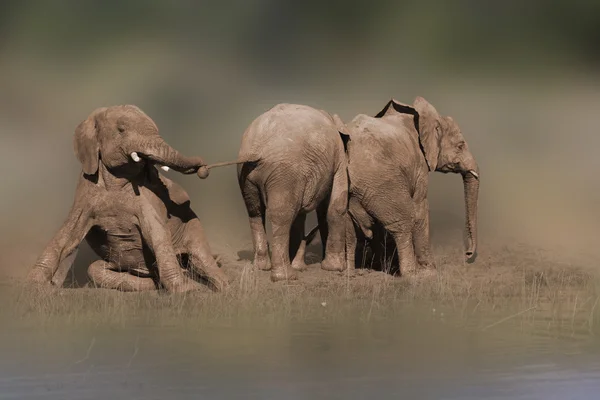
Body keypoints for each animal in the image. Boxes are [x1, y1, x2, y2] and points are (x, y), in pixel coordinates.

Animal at [25, 104, 229, 294]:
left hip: (192, 224)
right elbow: (67, 234)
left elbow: (158, 235)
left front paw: (188, 291)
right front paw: (35, 285)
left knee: (202, 259)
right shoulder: (85, 192)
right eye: (121, 130)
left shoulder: (148, 199)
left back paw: (221, 289)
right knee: (95, 269)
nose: (203, 168)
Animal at [237, 103, 350, 282]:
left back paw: (262, 268)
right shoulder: (338, 157)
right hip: (284, 173)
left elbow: (303, 214)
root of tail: (256, 149)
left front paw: (302, 266)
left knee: (254, 212)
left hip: (248, 174)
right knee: (282, 215)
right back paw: (285, 276)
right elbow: (336, 207)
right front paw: (335, 268)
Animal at [344, 97, 480, 276]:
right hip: (382, 182)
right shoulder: (420, 166)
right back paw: (410, 274)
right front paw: (429, 270)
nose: (468, 254)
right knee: (402, 222)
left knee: (349, 230)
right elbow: (420, 208)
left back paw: (352, 273)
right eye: (460, 145)